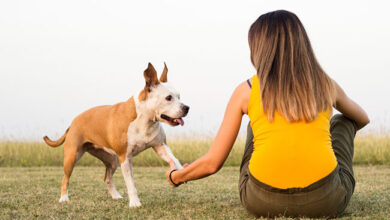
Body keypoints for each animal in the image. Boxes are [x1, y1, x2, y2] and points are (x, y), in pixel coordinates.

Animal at [42, 62, 189, 207]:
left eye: (179, 97)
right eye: (168, 98)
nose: (187, 108)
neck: (145, 120)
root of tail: (73, 123)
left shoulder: (160, 146)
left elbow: (174, 159)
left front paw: (181, 171)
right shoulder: (125, 158)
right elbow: (130, 184)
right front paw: (135, 203)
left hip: (112, 161)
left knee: (107, 178)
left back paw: (115, 196)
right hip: (72, 157)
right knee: (65, 179)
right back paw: (64, 198)